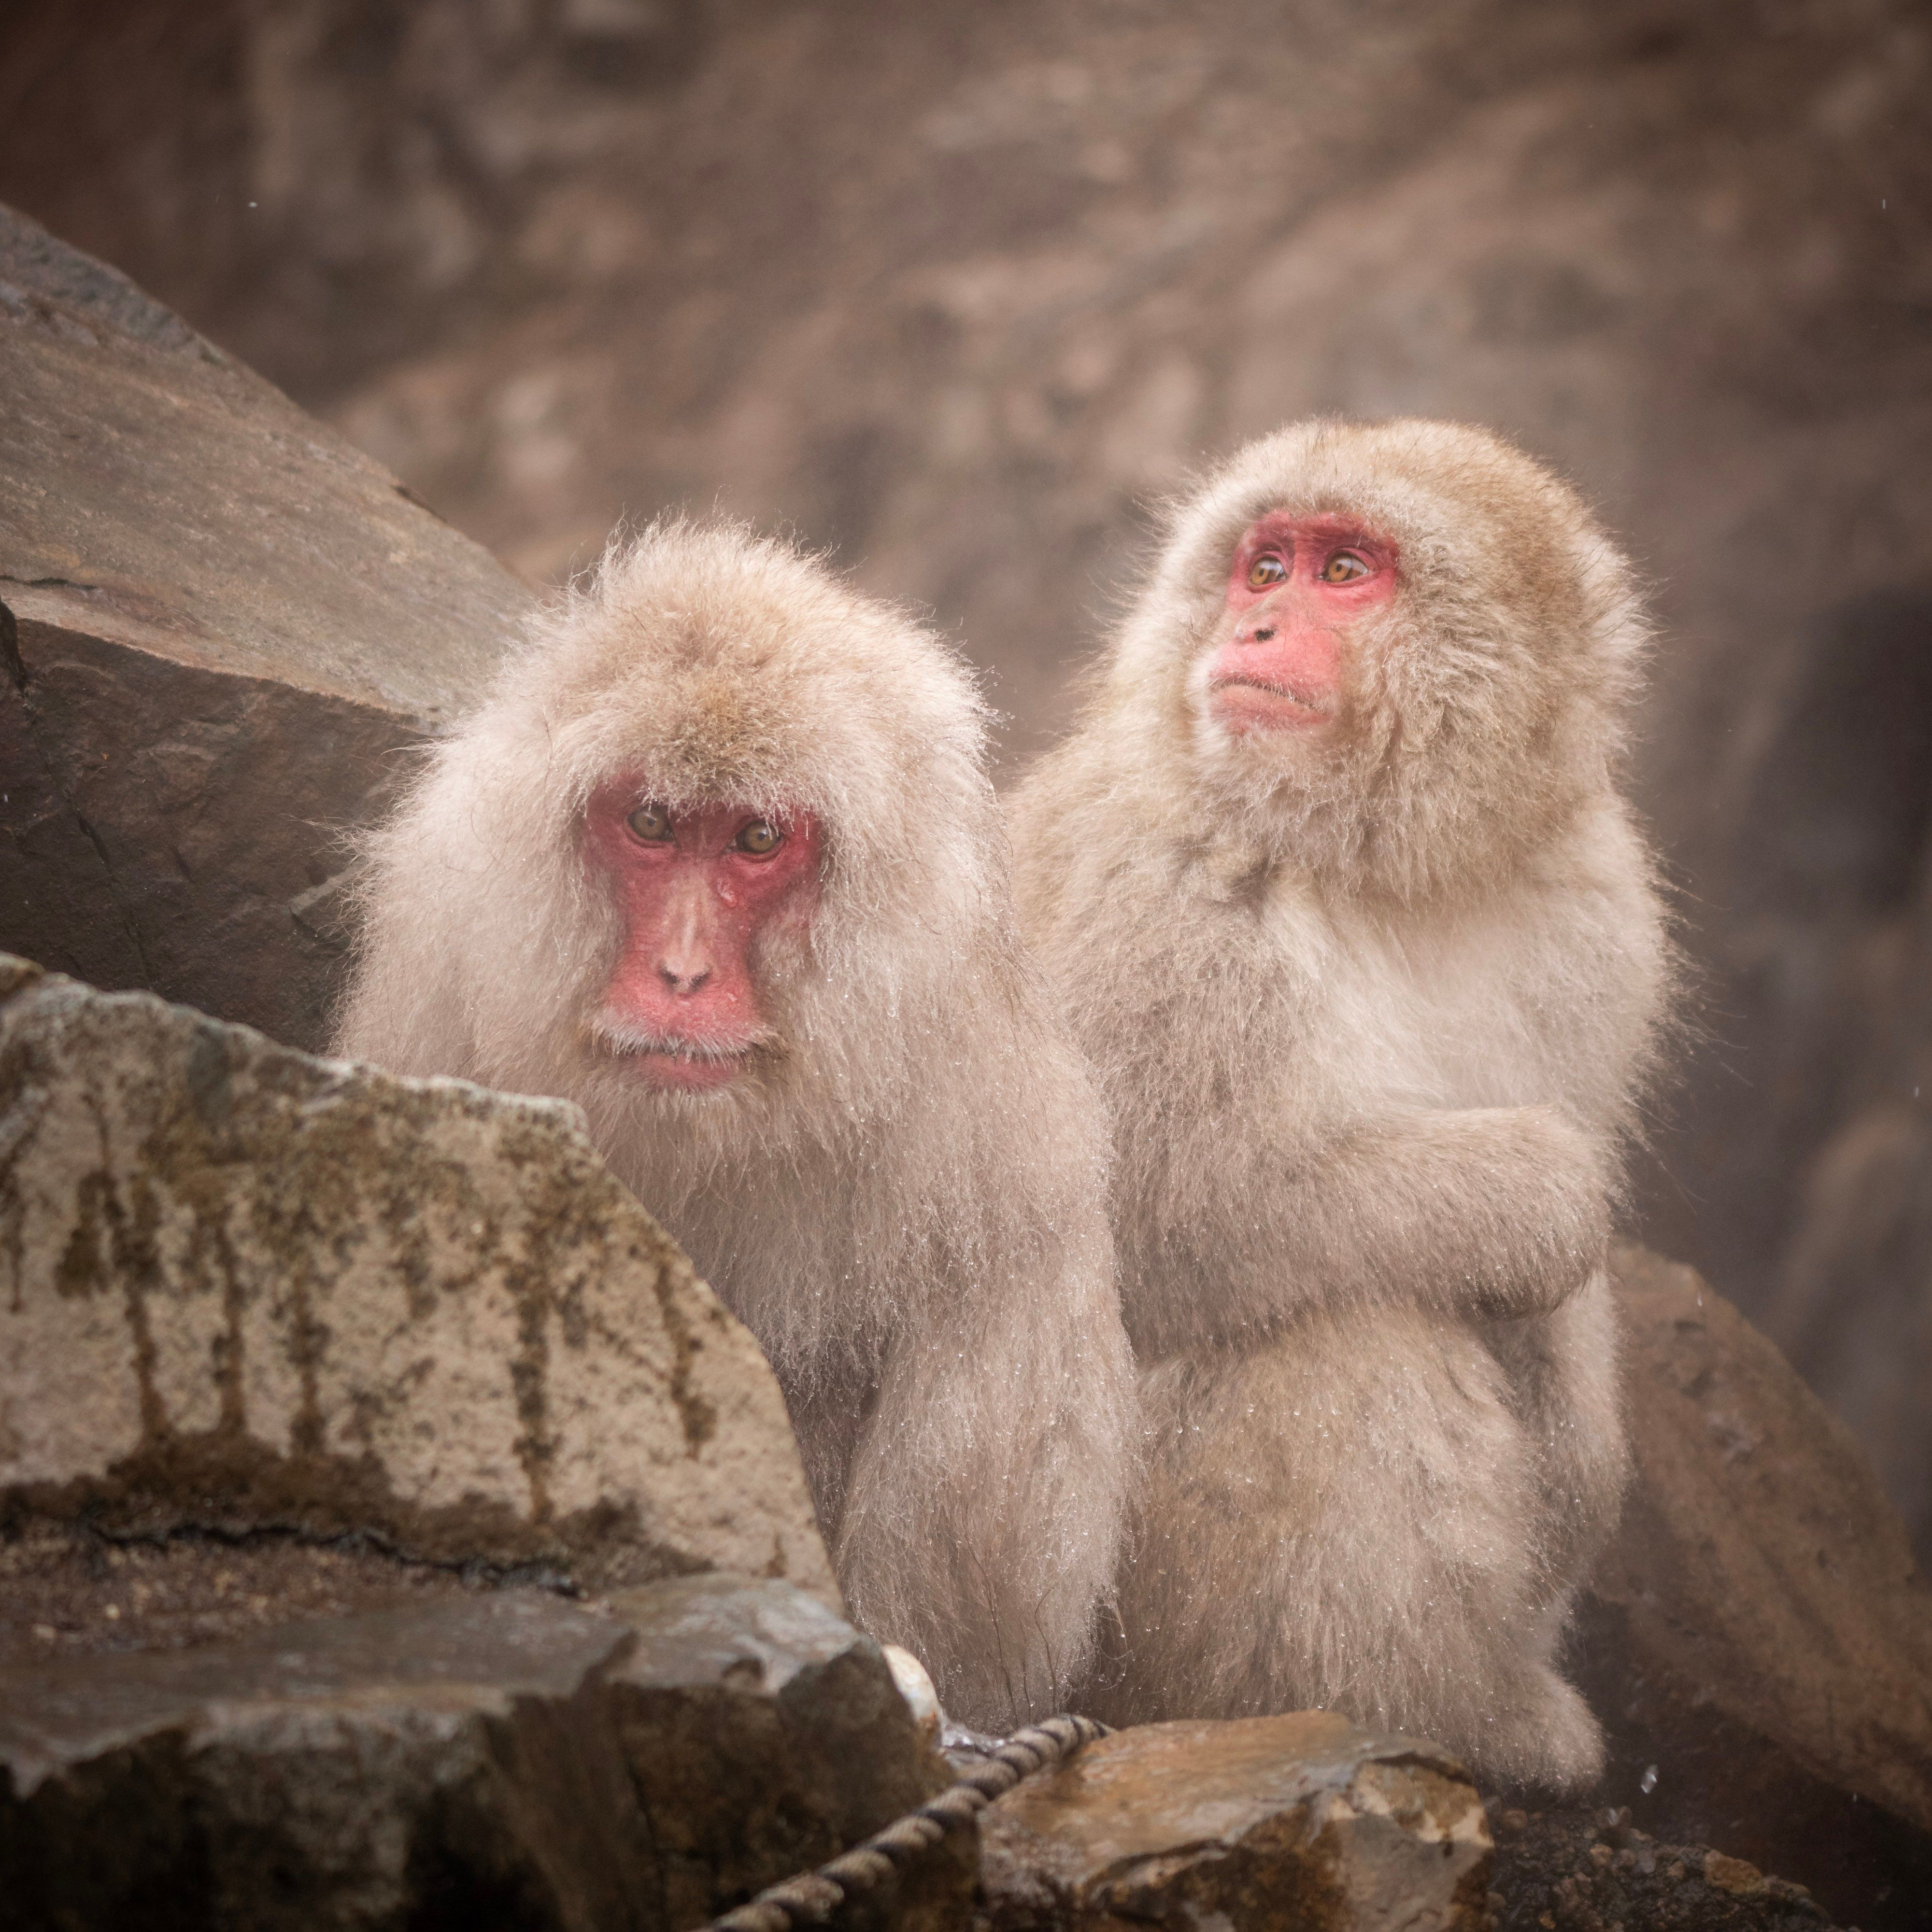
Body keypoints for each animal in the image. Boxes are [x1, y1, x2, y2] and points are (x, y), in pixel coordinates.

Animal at [1005, 419, 1672, 1791]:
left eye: (1346, 570)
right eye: (1265, 567)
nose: (1254, 627)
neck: (1385, 866)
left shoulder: (1595, 905)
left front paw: (1583, 1431)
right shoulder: (1153, 887)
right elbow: (1156, 1225)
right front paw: (1537, 1201)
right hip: (1110, 1610)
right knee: (1340, 1330)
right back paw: (1424, 1712)